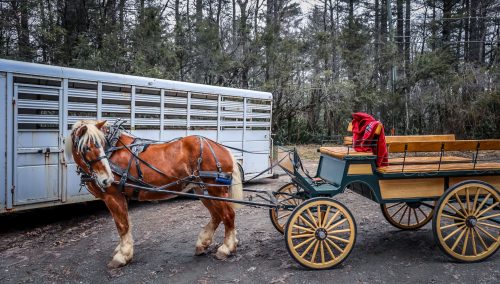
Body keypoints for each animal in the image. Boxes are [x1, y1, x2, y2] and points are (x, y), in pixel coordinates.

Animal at [66, 120, 242, 268]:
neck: (112, 151)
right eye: (87, 148)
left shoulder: (113, 196)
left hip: (215, 189)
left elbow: (122, 225)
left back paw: (226, 248)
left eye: (100, 146)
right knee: (217, 215)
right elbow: (125, 223)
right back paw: (203, 243)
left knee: (228, 215)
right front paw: (122, 248)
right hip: (202, 190)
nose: (107, 179)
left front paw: (122, 255)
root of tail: (223, 149)